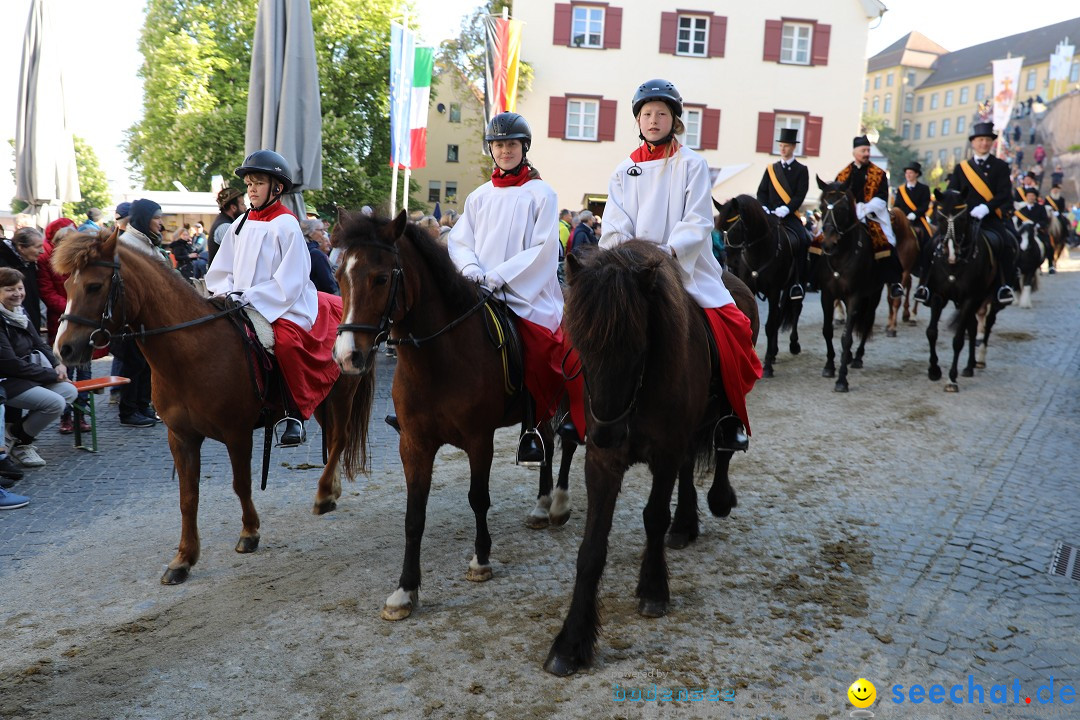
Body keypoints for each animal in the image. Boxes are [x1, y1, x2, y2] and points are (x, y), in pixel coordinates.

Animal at [52, 231, 373, 587]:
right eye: (66, 286)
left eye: (94, 286)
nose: (64, 348)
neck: (192, 354)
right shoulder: (181, 437)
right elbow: (188, 497)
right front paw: (183, 559)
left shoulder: (237, 433)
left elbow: (241, 484)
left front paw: (250, 532)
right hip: (319, 398)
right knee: (333, 440)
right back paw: (332, 489)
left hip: (342, 392)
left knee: (340, 439)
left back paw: (324, 494)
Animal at [332, 209, 570, 626]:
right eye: (339, 276)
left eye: (381, 278)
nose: (348, 356)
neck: (439, 359)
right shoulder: (414, 444)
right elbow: (414, 517)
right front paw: (405, 591)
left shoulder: (479, 440)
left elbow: (478, 498)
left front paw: (481, 559)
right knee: (549, 443)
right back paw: (542, 506)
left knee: (571, 441)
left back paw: (558, 503)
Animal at [540, 240, 760, 677]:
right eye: (579, 346)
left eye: (637, 346)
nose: (606, 433)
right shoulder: (603, 462)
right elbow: (591, 549)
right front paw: (571, 642)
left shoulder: (666, 450)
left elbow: (654, 516)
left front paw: (654, 589)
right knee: (690, 469)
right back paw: (685, 524)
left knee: (721, 449)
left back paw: (717, 498)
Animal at [712, 194, 799, 379]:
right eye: (718, 232)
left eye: (735, 229)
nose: (730, 263)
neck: (760, 250)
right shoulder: (749, 288)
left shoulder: (774, 291)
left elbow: (770, 325)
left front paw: (767, 366)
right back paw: (774, 352)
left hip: (795, 283)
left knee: (795, 308)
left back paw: (793, 345)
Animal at [812, 179, 885, 395]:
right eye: (821, 207)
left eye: (843, 209)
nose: (828, 244)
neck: (840, 256)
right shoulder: (827, 295)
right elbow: (827, 330)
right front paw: (829, 367)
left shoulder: (855, 297)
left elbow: (846, 338)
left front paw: (842, 380)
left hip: (874, 295)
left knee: (867, 322)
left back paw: (857, 357)